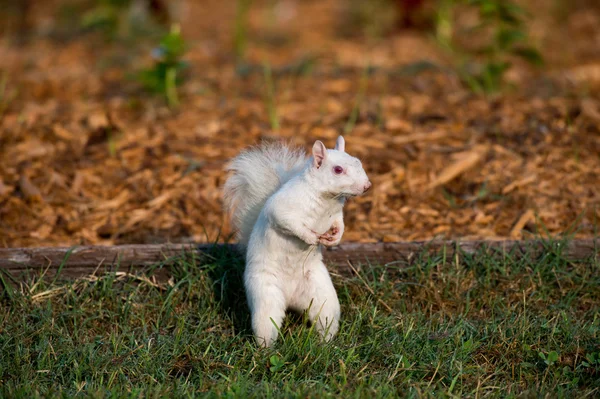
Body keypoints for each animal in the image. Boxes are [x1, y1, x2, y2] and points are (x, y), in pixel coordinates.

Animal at [221, 135, 370, 346]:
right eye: (338, 170)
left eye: (358, 161)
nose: (367, 186)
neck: (327, 200)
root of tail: (291, 298)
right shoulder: (282, 208)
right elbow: (289, 223)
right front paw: (310, 237)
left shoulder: (336, 216)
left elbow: (339, 225)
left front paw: (334, 239)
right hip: (266, 296)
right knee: (267, 324)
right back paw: (266, 350)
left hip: (322, 296)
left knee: (325, 319)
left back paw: (326, 344)